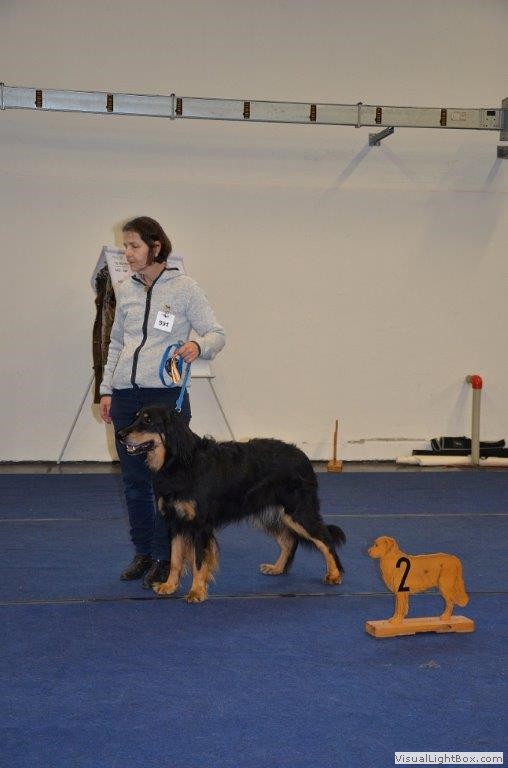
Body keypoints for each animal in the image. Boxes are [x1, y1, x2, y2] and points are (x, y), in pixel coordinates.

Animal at [117, 405, 346, 603]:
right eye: (135, 417)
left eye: (148, 420)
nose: (120, 435)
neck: (179, 462)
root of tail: (303, 457)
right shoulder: (175, 523)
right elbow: (175, 558)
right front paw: (169, 586)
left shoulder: (200, 525)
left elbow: (199, 561)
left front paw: (196, 592)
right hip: (271, 513)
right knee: (289, 540)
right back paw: (277, 568)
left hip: (298, 511)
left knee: (325, 539)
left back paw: (334, 574)